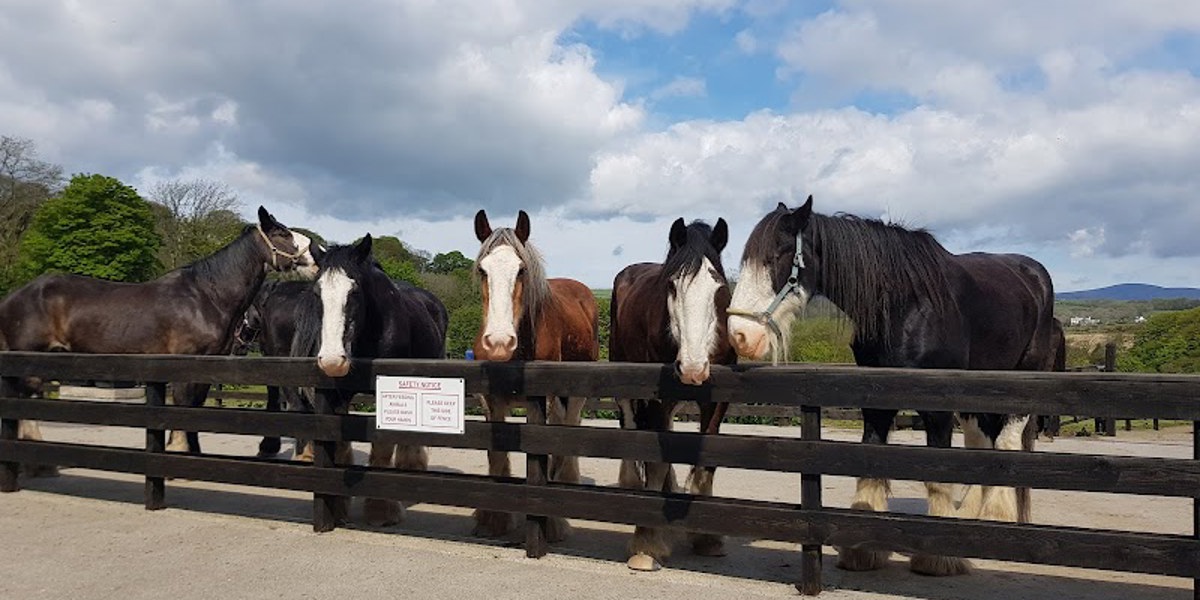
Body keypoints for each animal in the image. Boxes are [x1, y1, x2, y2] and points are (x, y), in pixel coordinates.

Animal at [0, 206, 317, 463]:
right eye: (281, 233)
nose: (315, 255)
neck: (204, 296)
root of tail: (15, 296)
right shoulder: (184, 365)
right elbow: (183, 406)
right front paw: (179, 453)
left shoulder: (205, 369)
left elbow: (196, 409)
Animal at [290, 235, 448, 526]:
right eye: (317, 293)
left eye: (353, 292)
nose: (332, 359)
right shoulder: (337, 395)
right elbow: (340, 444)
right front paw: (337, 507)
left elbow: (383, 445)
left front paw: (381, 510)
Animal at [470, 209, 599, 542]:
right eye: (483, 270)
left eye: (521, 270)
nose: (499, 342)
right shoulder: (491, 401)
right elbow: (496, 456)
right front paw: (493, 519)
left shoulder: (546, 399)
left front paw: (552, 523)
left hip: (575, 395)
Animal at [609, 217, 736, 571]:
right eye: (672, 286)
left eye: (718, 287)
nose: (692, 367)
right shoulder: (655, 399)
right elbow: (656, 464)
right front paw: (646, 544)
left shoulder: (716, 401)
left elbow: (706, 462)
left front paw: (707, 539)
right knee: (630, 429)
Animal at [726, 195, 1066, 576]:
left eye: (776, 256)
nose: (740, 335)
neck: (905, 305)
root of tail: (1034, 274)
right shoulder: (876, 402)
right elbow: (872, 464)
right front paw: (863, 552)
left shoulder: (937, 408)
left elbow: (939, 475)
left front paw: (937, 558)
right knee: (981, 445)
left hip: (1021, 386)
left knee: (1006, 444)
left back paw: (997, 519)